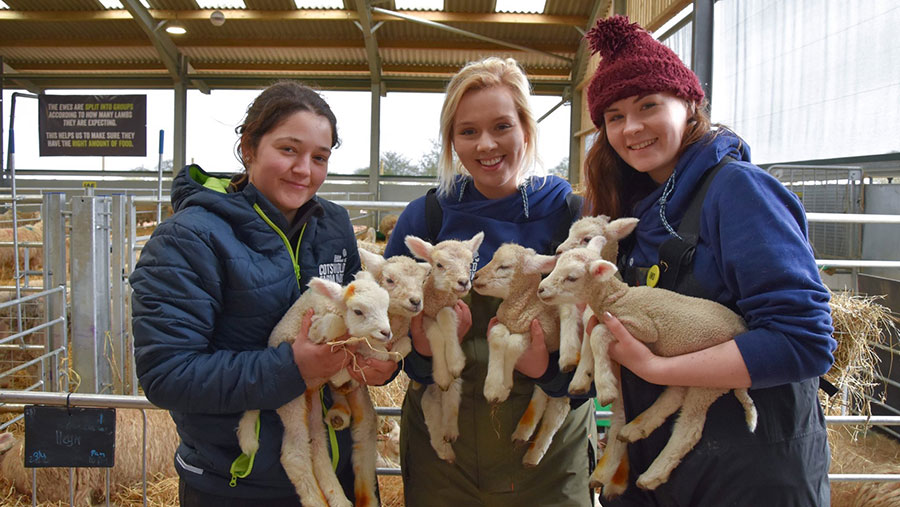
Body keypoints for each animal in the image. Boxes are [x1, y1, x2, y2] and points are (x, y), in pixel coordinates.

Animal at [237, 274, 392, 507]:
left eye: (386, 306)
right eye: (358, 311)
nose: (386, 333)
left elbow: (374, 352)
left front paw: (381, 356)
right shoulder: (313, 329)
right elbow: (333, 326)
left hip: (314, 402)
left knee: (322, 446)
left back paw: (341, 499)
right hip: (291, 398)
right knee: (295, 455)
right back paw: (317, 500)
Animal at [404, 234, 486, 464]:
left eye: (470, 263)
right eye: (439, 265)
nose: (463, 282)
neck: (437, 301)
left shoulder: (451, 308)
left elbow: (447, 317)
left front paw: (455, 361)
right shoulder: (424, 318)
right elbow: (435, 335)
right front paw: (442, 372)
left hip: (455, 387)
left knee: (449, 400)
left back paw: (450, 433)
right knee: (431, 408)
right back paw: (444, 448)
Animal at [472, 244, 568, 466]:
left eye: (504, 266)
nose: (476, 277)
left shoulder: (540, 333)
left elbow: (514, 344)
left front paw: (505, 384)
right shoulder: (501, 323)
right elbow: (498, 336)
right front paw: (494, 387)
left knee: (554, 417)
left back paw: (533, 455)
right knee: (541, 396)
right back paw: (522, 433)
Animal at [536, 238, 756, 496]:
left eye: (572, 277)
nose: (541, 289)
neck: (618, 298)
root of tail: (742, 329)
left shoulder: (642, 328)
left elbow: (598, 333)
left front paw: (606, 388)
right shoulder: (603, 318)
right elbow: (590, 335)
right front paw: (583, 379)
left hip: (710, 379)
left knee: (689, 428)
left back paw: (652, 474)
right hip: (683, 365)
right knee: (674, 396)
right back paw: (634, 429)